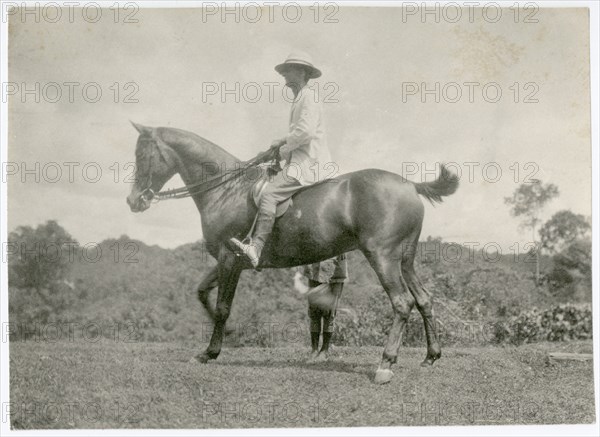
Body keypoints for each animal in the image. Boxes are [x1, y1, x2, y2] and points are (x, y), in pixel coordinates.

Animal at [124, 122, 458, 382]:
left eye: (141, 155)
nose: (133, 201)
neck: (226, 190)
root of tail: (410, 185)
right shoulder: (225, 260)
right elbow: (202, 292)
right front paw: (228, 335)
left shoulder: (230, 260)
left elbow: (221, 307)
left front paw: (211, 351)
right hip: (405, 260)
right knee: (424, 299)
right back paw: (431, 355)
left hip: (382, 257)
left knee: (402, 303)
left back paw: (386, 364)